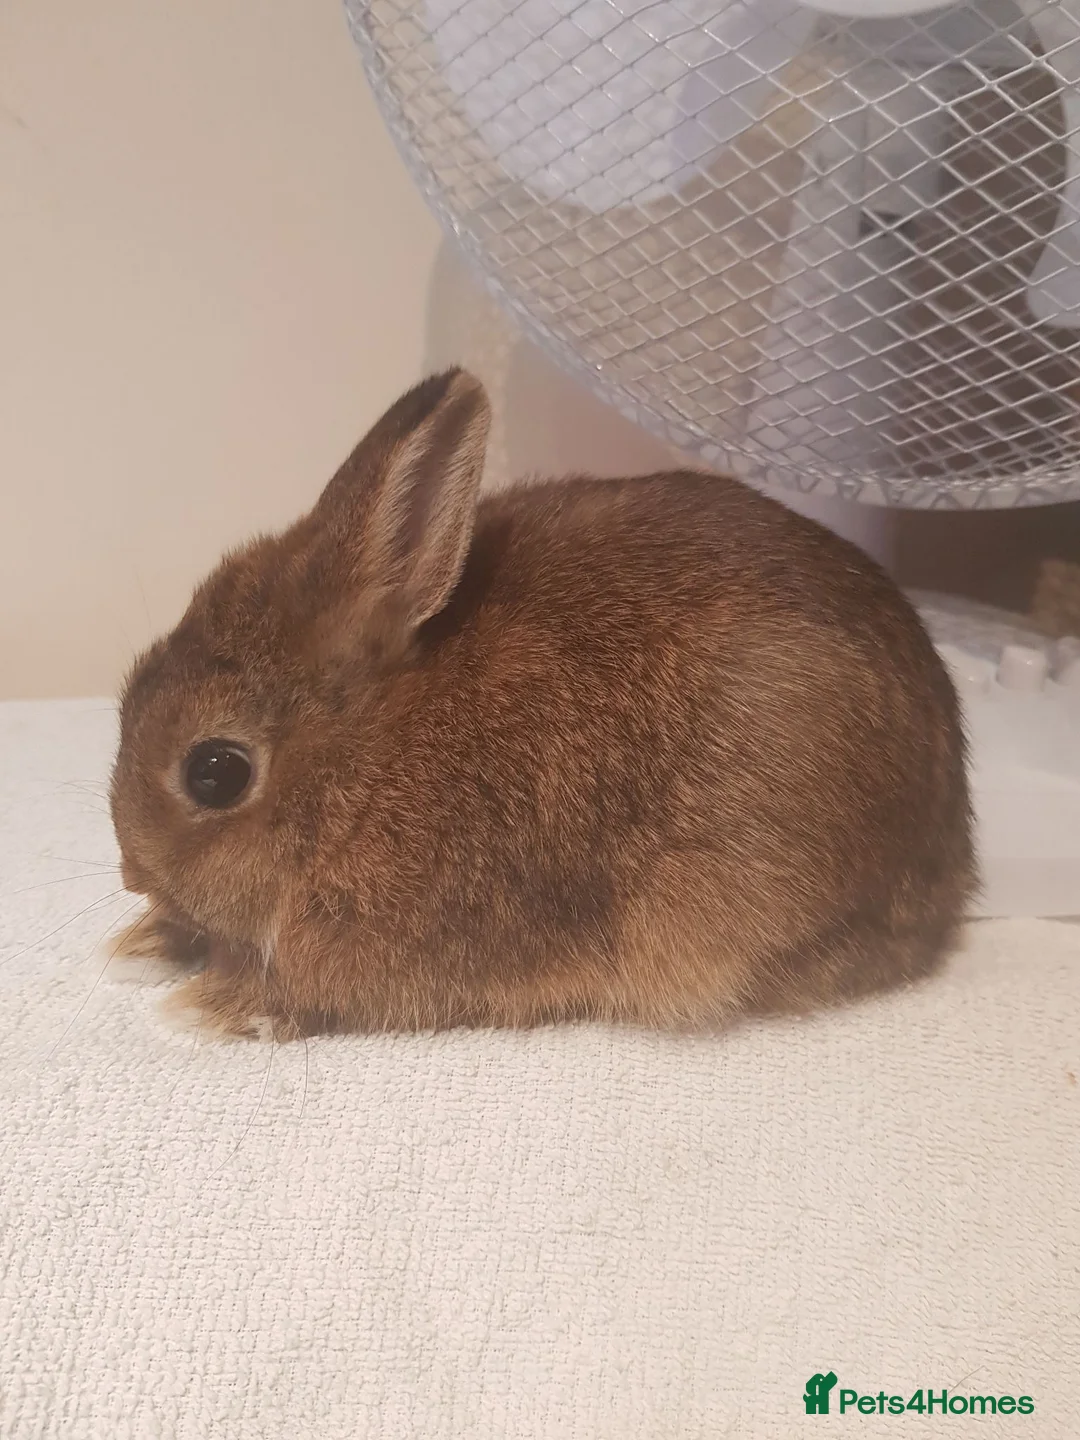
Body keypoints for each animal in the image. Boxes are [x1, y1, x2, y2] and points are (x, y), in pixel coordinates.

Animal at [107, 368, 976, 1041]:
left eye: (215, 773)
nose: (130, 872)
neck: (368, 760)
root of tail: (951, 868)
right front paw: (143, 943)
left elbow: (294, 992)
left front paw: (205, 1006)